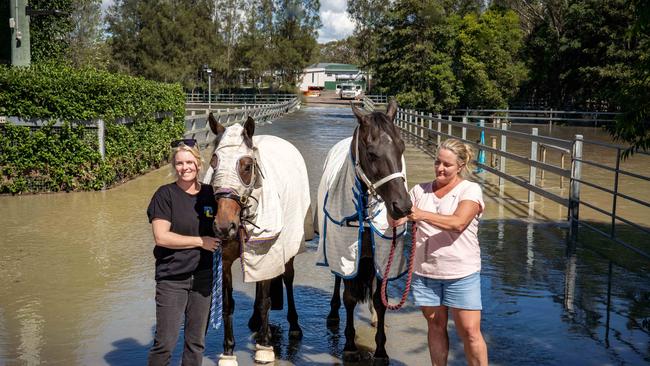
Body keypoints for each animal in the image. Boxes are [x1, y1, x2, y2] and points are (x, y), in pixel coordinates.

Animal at [314, 99, 410, 364]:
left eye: (401, 147)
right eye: (371, 153)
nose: (403, 206)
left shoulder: (382, 254)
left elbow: (379, 300)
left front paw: (380, 350)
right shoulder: (347, 253)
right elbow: (349, 297)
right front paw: (349, 346)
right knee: (339, 280)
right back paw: (333, 314)